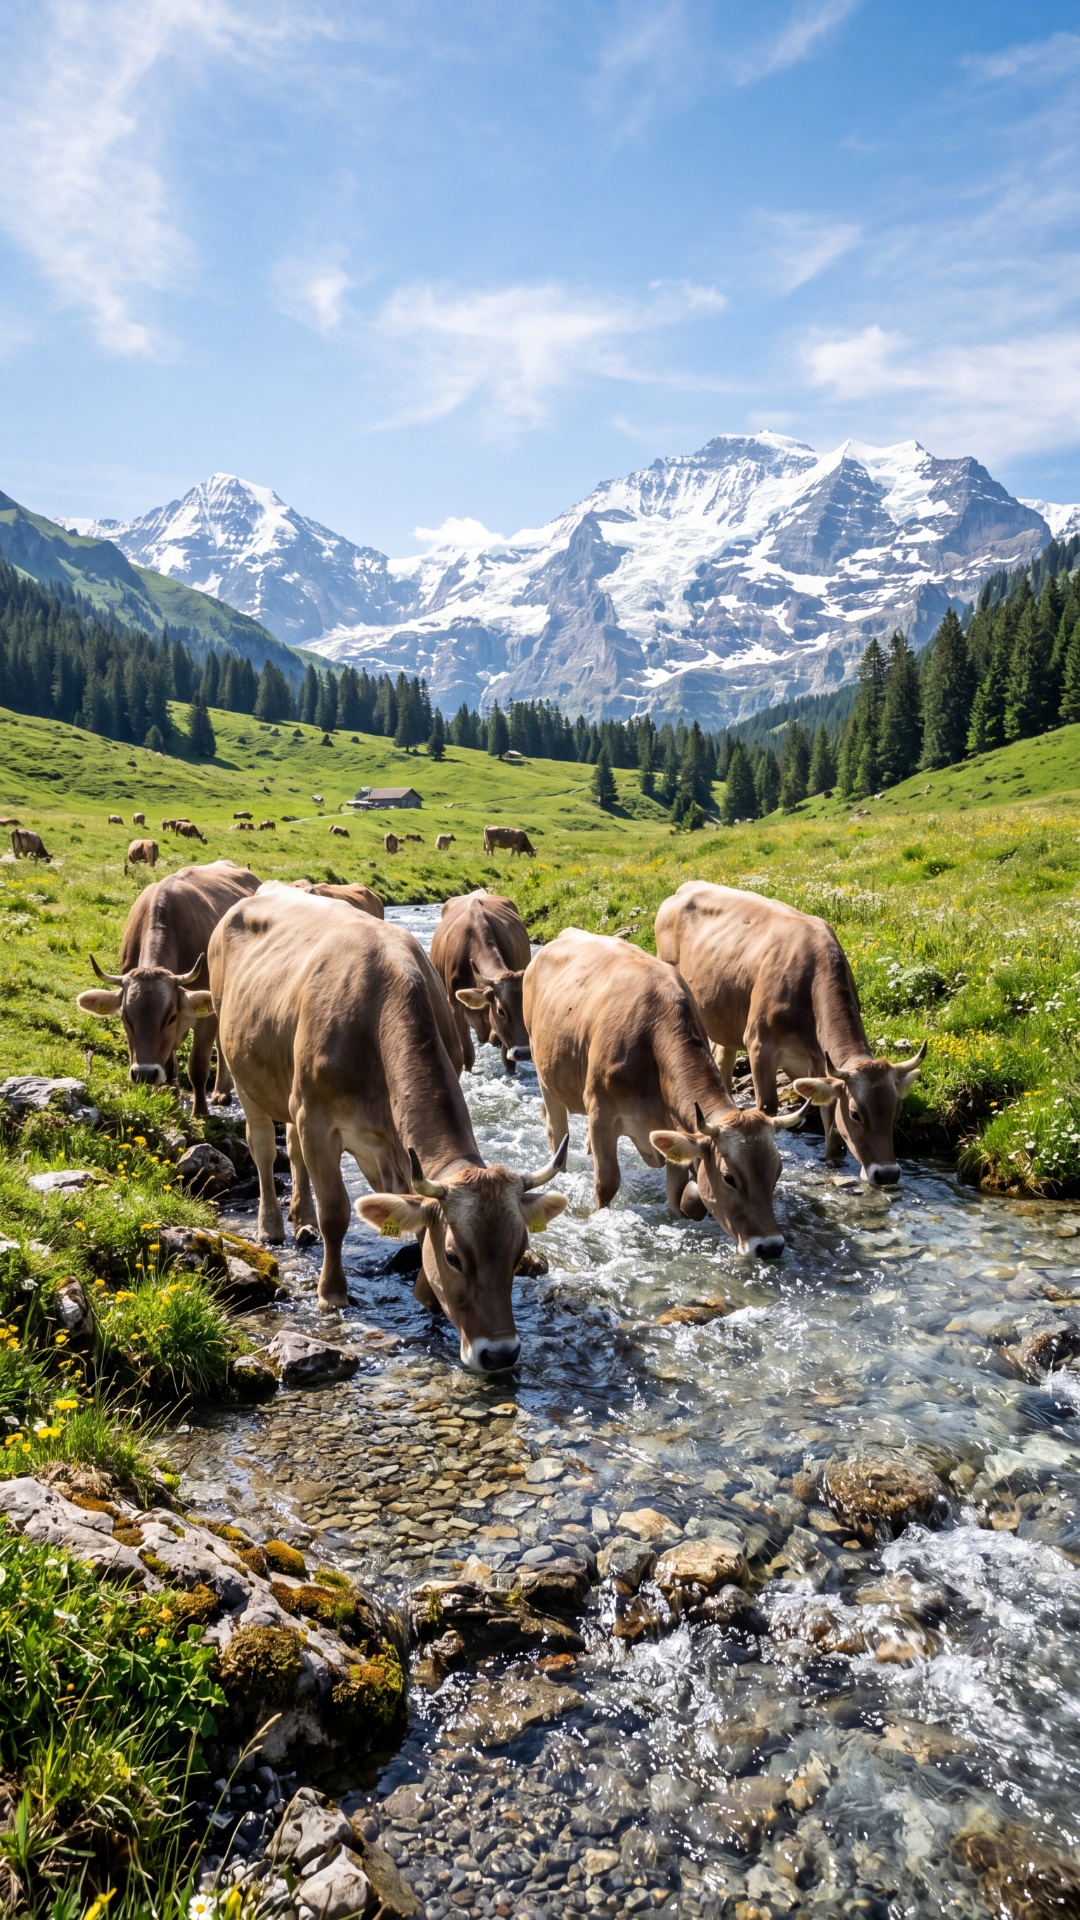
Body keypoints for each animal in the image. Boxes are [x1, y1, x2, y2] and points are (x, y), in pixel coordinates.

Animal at [75, 860, 260, 1116]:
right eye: (124, 1018)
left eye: (171, 1017)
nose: (144, 1074)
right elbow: (171, 1065)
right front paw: (172, 1104)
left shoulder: (204, 1017)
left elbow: (198, 1065)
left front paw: (200, 1113)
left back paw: (221, 1092)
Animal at [524, 929, 807, 1256]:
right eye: (729, 1178)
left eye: (778, 1171)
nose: (770, 1247)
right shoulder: (601, 1116)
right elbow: (606, 1183)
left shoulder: (672, 1131)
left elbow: (679, 1197)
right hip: (546, 1078)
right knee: (556, 1130)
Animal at [654, 881, 927, 1186]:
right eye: (856, 1114)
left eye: (896, 1110)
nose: (887, 1174)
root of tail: (686, 887)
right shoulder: (760, 1046)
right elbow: (768, 1108)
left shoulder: (818, 1060)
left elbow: (829, 1116)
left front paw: (832, 1160)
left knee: (722, 1059)